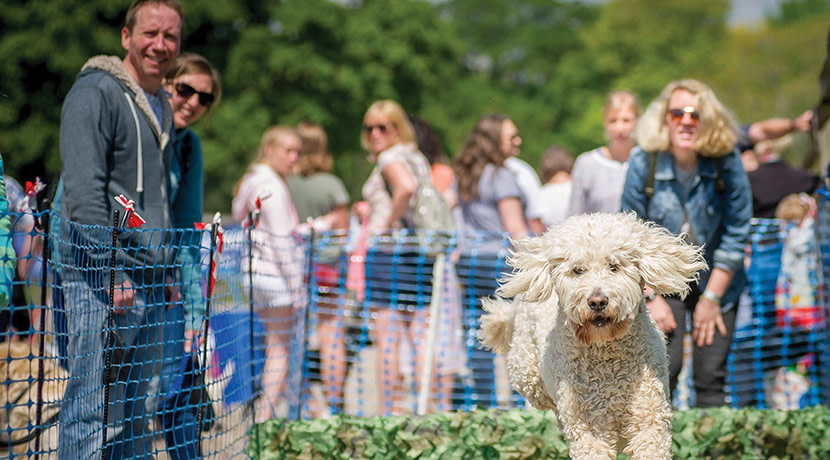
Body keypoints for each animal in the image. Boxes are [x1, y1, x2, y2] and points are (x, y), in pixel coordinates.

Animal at [480, 212, 708, 460]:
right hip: (527, 374)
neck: (606, 355)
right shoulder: (589, 430)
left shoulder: (649, 417)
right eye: (578, 270)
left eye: (614, 267)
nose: (597, 301)